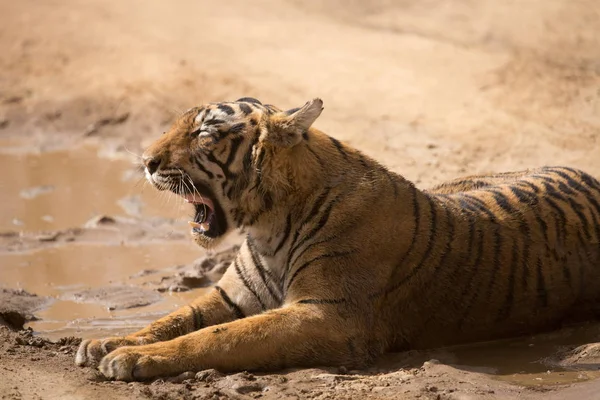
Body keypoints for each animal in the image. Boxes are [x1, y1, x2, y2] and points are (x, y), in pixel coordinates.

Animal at [74, 97, 600, 382]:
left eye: (205, 133)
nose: (146, 161)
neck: (266, 226)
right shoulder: (231, 297)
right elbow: (176, 320)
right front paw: (107, 342)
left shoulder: (328, 315)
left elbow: (216, 338)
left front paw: (130, 358)